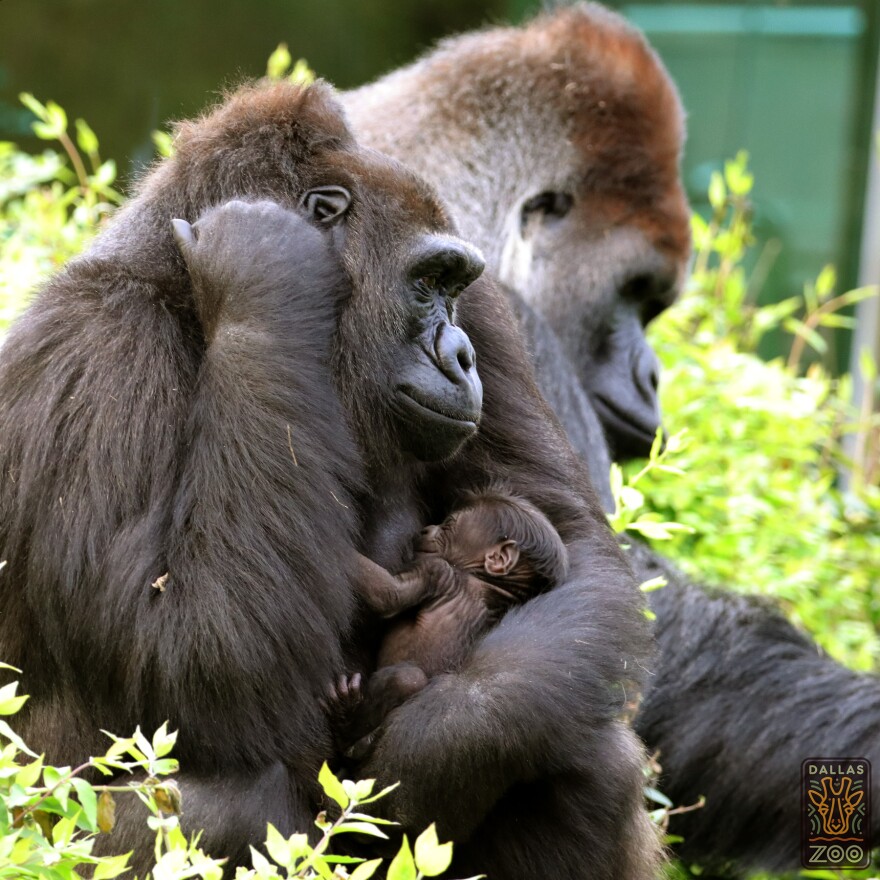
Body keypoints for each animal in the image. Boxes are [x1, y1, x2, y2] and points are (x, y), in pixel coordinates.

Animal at [330, 492, 572, 760]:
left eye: (448, 526)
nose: (426, 529)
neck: (488, 585)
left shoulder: (436, 569)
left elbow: (389, 596)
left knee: (407, 678)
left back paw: (347, 722)